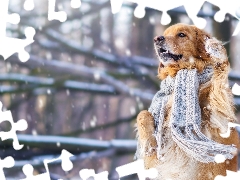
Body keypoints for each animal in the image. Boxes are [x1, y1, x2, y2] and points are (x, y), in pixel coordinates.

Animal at [136, 23, 239, 179]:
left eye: (181, 34)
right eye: (165, 33)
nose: (157, 38)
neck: (183, 70)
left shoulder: (216, 113)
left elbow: (218, 84)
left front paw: (216, 50)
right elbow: (142, 114)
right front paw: (149, 142)